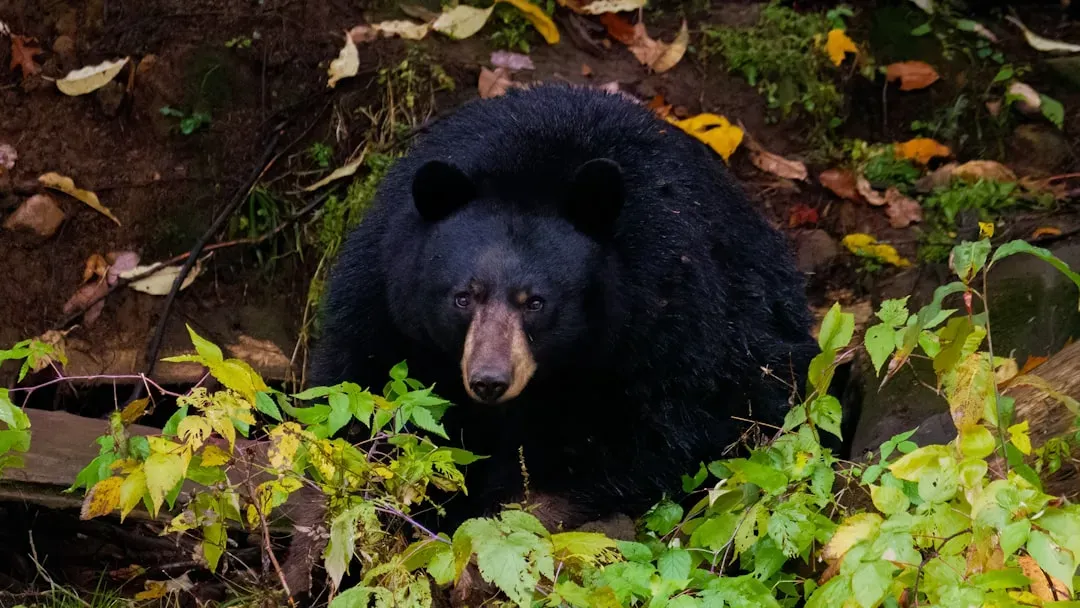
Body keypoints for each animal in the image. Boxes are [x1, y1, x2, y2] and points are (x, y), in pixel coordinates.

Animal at [309, 83, 820, 533]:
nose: (489, 381)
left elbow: (645, 441)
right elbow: (359, 384)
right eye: (463, 296)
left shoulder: (669, 325)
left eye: (536, 302)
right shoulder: (381, 293)